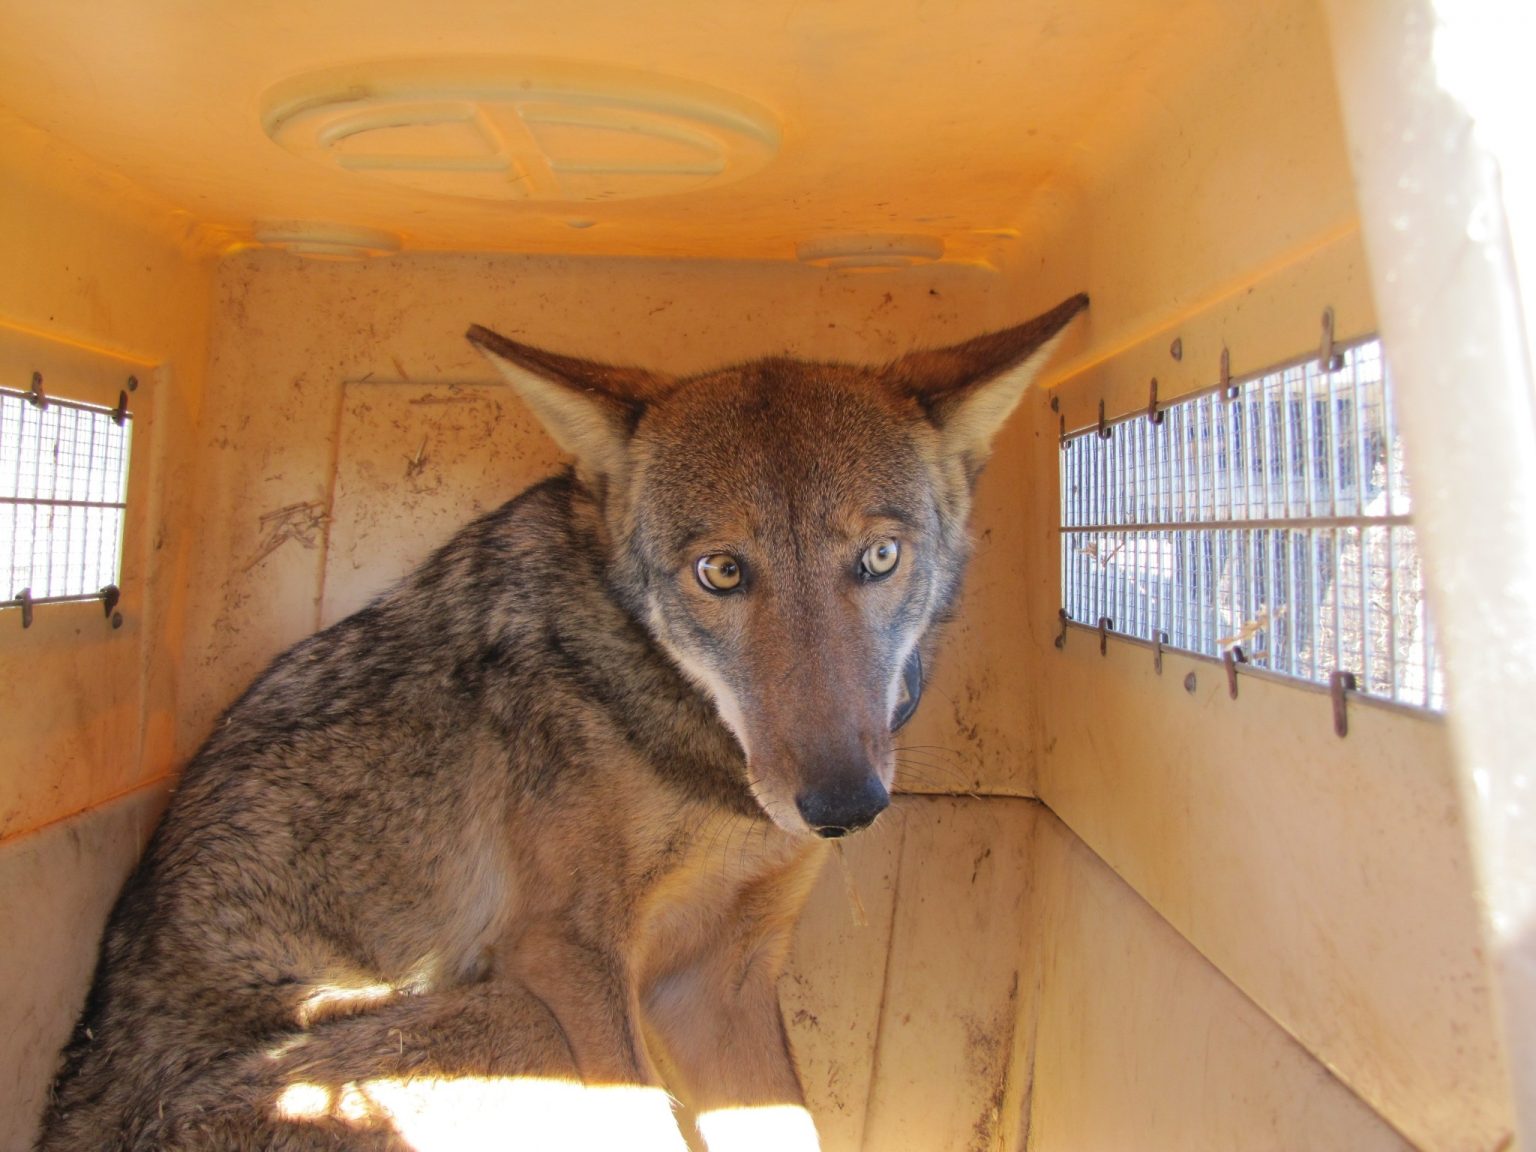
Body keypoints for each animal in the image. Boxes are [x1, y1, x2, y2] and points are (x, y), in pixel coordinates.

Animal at [35, 293, 1087, 1151]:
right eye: (720, 572)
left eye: (877, 558)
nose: (843, 804)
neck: (698, 767)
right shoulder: (569, 960)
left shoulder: (718, 982)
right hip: (519, 1022)